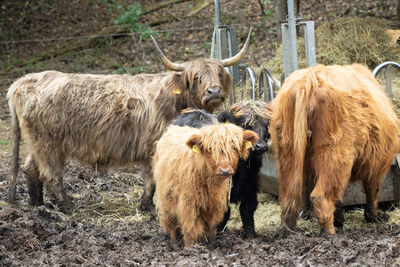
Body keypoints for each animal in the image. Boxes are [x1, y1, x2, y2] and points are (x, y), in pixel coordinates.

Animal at [217, 101, 274, 239]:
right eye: (245, 124)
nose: (260, 146)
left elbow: (247, 210)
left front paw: (250, 234)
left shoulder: (250, 186)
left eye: (266, 125)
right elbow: (224, 213)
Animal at [268, 63, 400, 236]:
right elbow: (372, 190)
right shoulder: (378, 162)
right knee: (320, 195)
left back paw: (288, 231)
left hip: (287, 150)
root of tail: (308, 80)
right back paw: (330, 233)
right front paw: (373, 216)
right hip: (335, 152)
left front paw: (340, 220)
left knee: (288, 198)